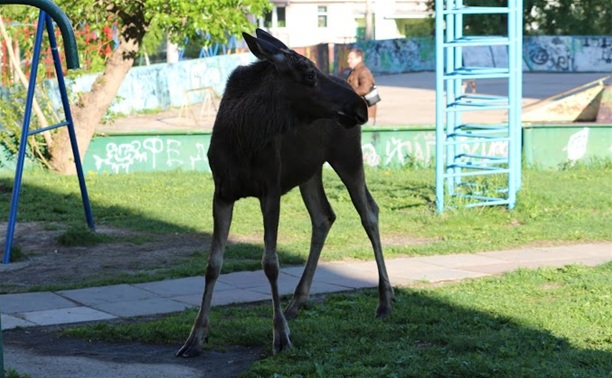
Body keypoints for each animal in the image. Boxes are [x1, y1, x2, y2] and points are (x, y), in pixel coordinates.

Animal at [176, 29, 396, 358]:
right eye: (309, 74)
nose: (360, 106)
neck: (242, 139)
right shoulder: (222, 192)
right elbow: (213, 264)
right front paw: (195, 336)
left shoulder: (271, 188)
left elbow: (270, 263)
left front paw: (280, 335)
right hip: (310, 170)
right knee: (324, 216)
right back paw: (297, 301)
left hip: (347, 157)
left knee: (369, 212)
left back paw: (384, 300)